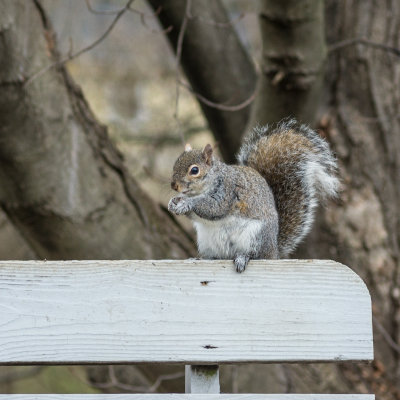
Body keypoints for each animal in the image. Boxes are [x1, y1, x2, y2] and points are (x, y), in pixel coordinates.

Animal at [167, 119, 340, 272]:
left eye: (194, 170)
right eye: (175, 164)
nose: (174, 186)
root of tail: (274, 252)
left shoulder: (228, 191)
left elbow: (214, 208)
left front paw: (187, 202)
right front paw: (173, 202)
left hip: (255, 236)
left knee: (256, 255)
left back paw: (243, 258)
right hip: (207, 241)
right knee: (217, 256)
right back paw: (203, 258)